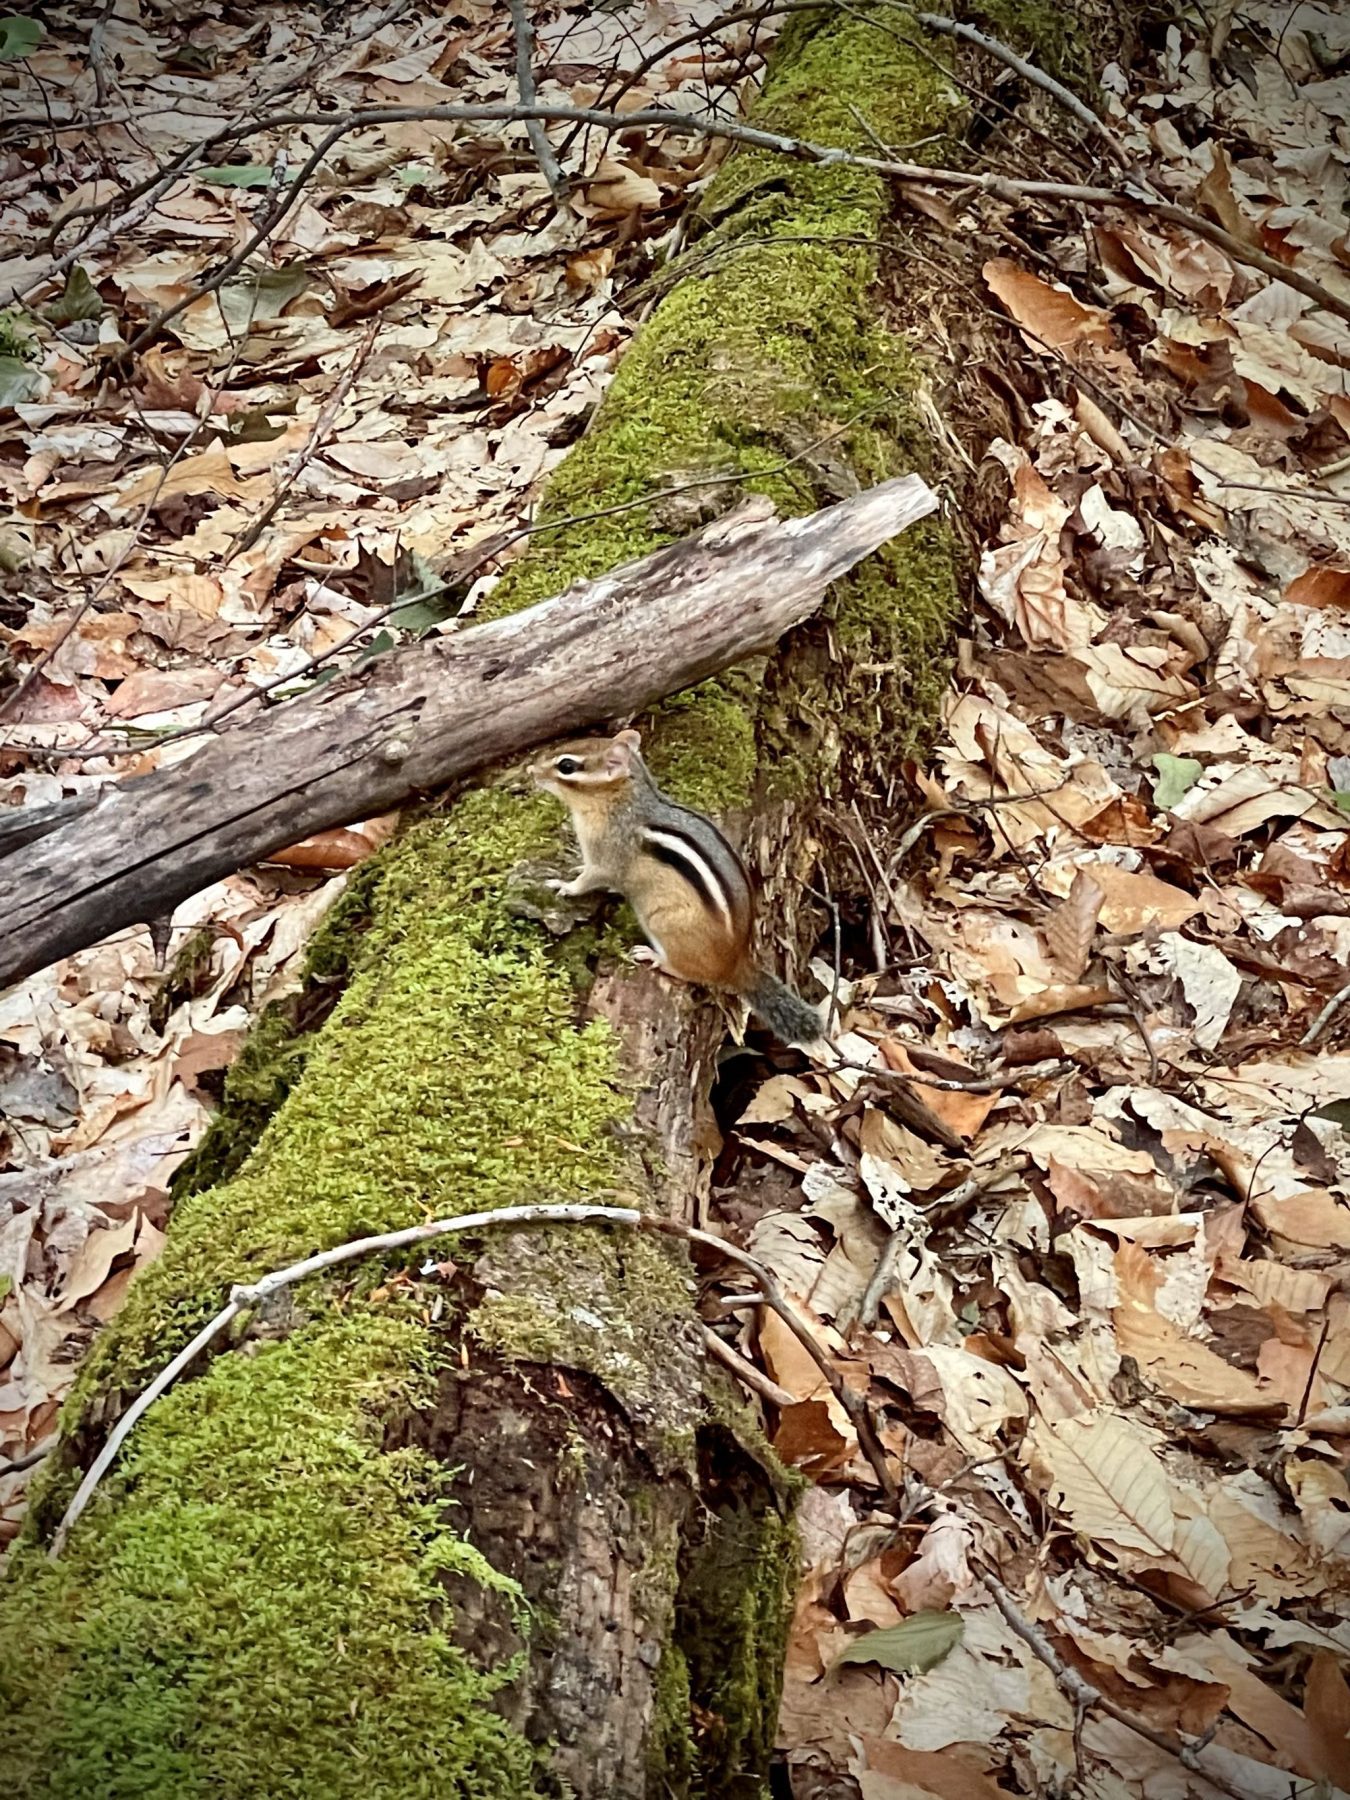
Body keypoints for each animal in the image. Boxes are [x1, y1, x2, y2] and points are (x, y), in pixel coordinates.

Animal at [530, 728, 826, 1049]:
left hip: (663, 923)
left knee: (690, 974)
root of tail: (735, 963)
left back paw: (654, 957)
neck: (620, 801)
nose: (530, 770)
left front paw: (564, 886)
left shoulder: (606, 858)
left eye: (566, 765)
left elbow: (589, 880)